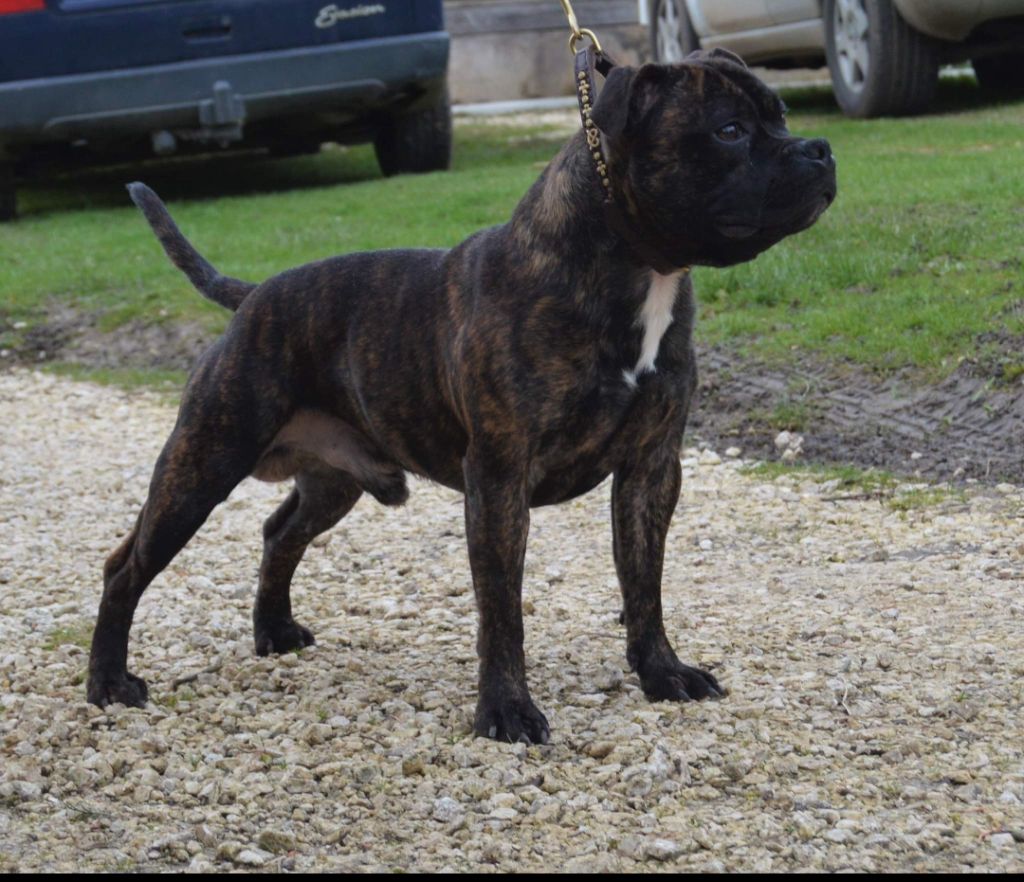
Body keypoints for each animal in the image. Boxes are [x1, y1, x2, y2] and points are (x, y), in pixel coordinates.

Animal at [87, 49, 835, 744]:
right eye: (730, 130)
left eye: (781, 116)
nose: (822, 149)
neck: (632, 271)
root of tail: (253, 296)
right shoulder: (500, 478)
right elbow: (501, 608)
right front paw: (505, 711)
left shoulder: (652, 469)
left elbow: (643, 583)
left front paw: (661, 672)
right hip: (203, 461)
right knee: (126, 565)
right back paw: (109, 684)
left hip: (333, 480)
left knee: (280, 531)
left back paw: (272, 632)